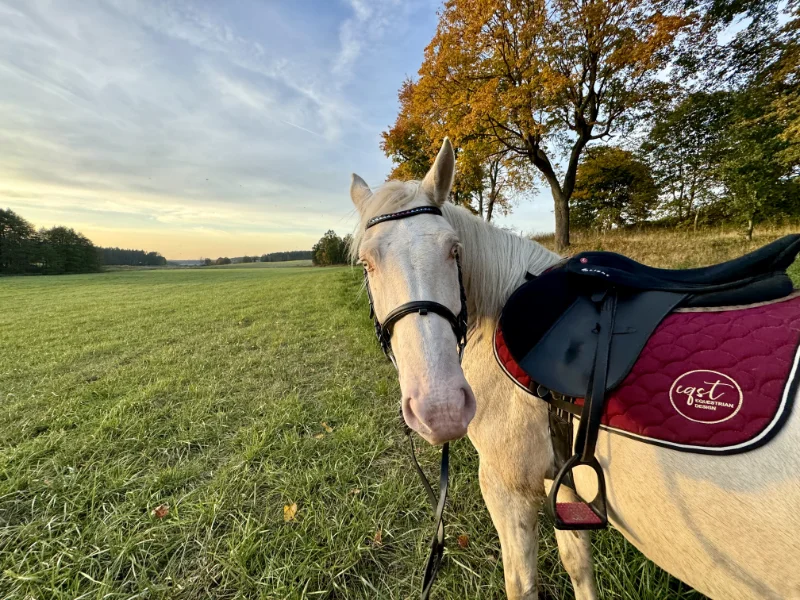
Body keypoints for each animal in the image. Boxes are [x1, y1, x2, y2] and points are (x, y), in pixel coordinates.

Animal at [349, 138, 800, 599]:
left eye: (453, 250)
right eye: (367, 264)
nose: (440, 409)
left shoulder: (507, 489)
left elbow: (522, 583)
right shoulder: (561, 477)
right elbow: (577, 561)